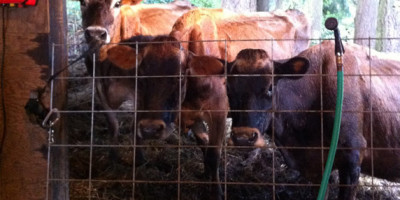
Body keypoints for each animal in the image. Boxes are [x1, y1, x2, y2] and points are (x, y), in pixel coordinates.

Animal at [107, 36, 228, 200]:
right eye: (142, 75)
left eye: (179, 76)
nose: (151, 129)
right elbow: (204, 143)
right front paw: (206, 174)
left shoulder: (219, 113)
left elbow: (213, 155)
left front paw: (216, 193)